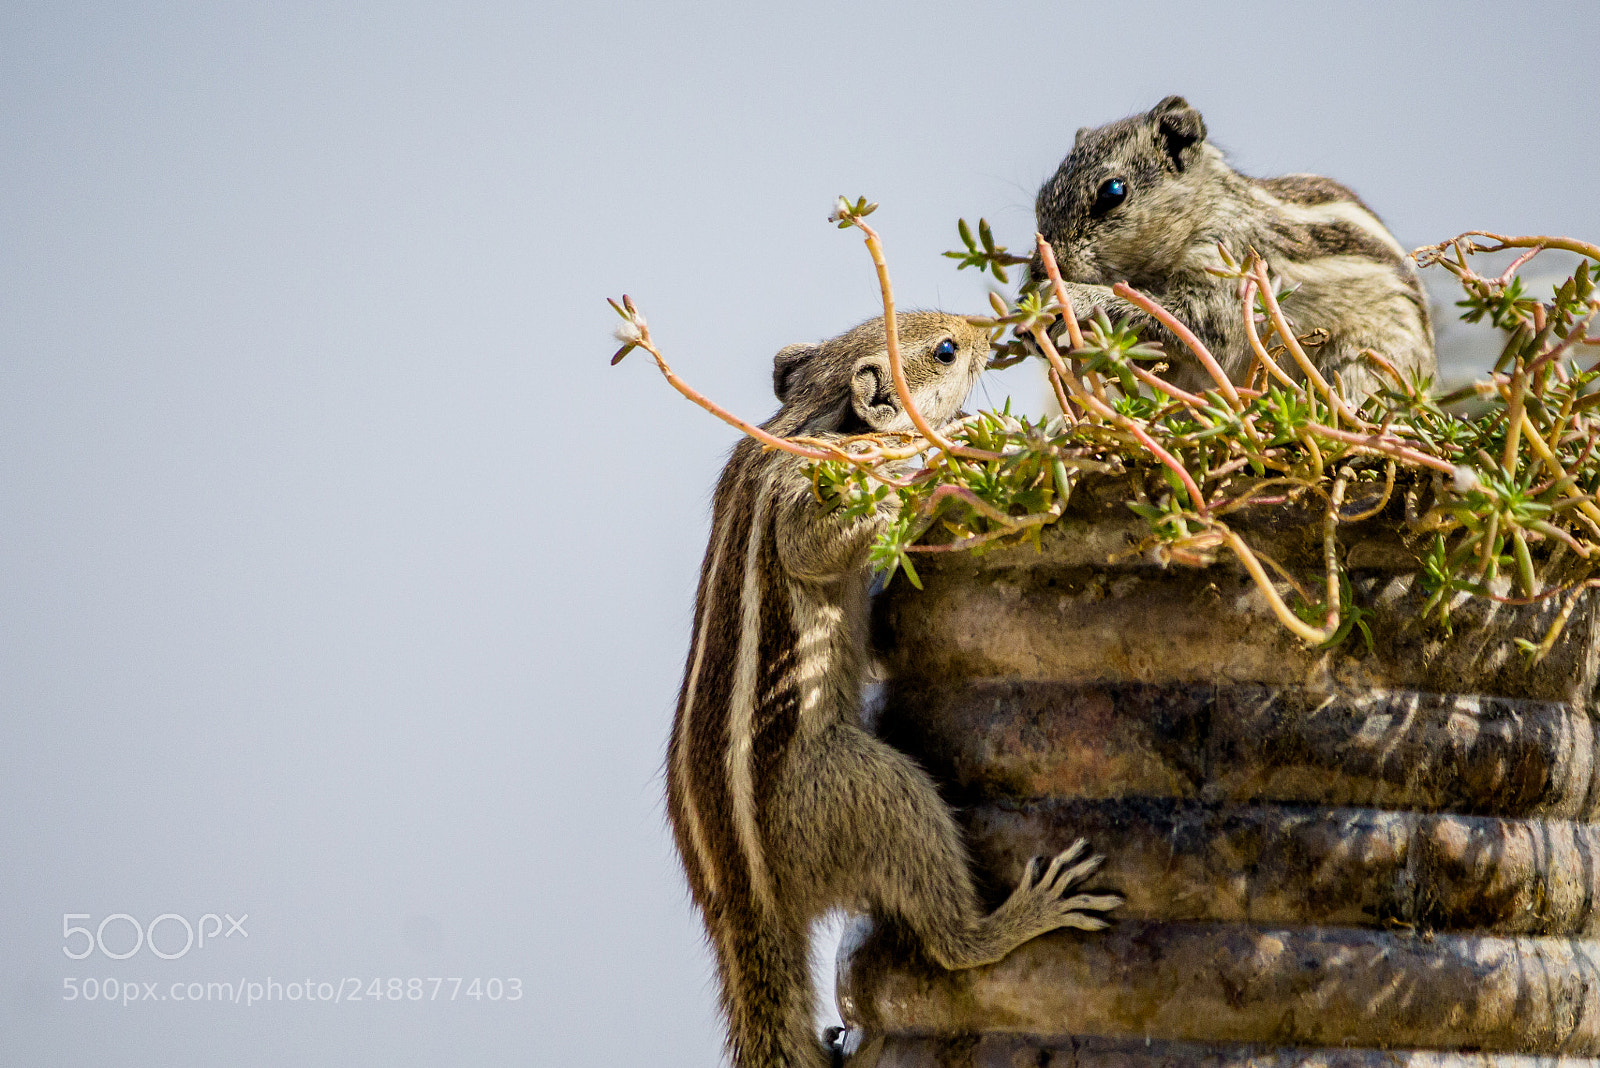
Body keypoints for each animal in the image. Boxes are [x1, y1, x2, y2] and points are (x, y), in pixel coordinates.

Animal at [667, 311, 1121, 1068]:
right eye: (947, 350)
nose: (988, 331)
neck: (810, 417)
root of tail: (738, 899)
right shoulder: (805, 494)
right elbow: (813, 540)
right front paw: (942, 459)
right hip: (867, 793)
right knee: (950, 942)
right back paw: (1020, 916)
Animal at [1031, 95, 1436, 401]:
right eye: (1041, 194)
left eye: (1113, 192)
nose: (1037, 270)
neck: (1206, 212)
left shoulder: (1223, 281)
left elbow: (1188, 328)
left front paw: (1070, 297)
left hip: (1359, 363)